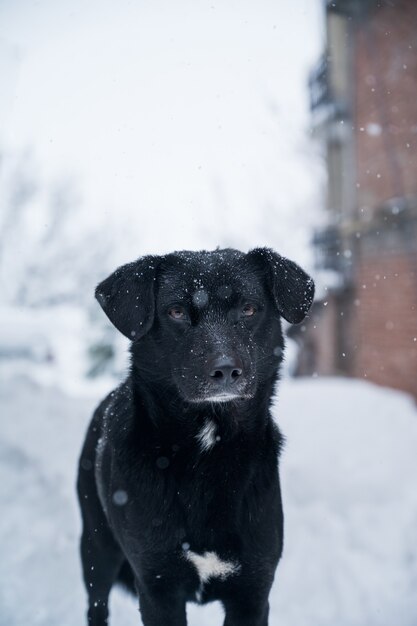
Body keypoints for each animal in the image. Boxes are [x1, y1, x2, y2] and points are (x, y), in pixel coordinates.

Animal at [77, 246, 312, 620]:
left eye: (249, 309)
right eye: (176, 312)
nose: (226, 370)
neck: (207, 452)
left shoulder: (253, 590)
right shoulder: (157, 587)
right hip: (96, 548)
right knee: (97, 605)